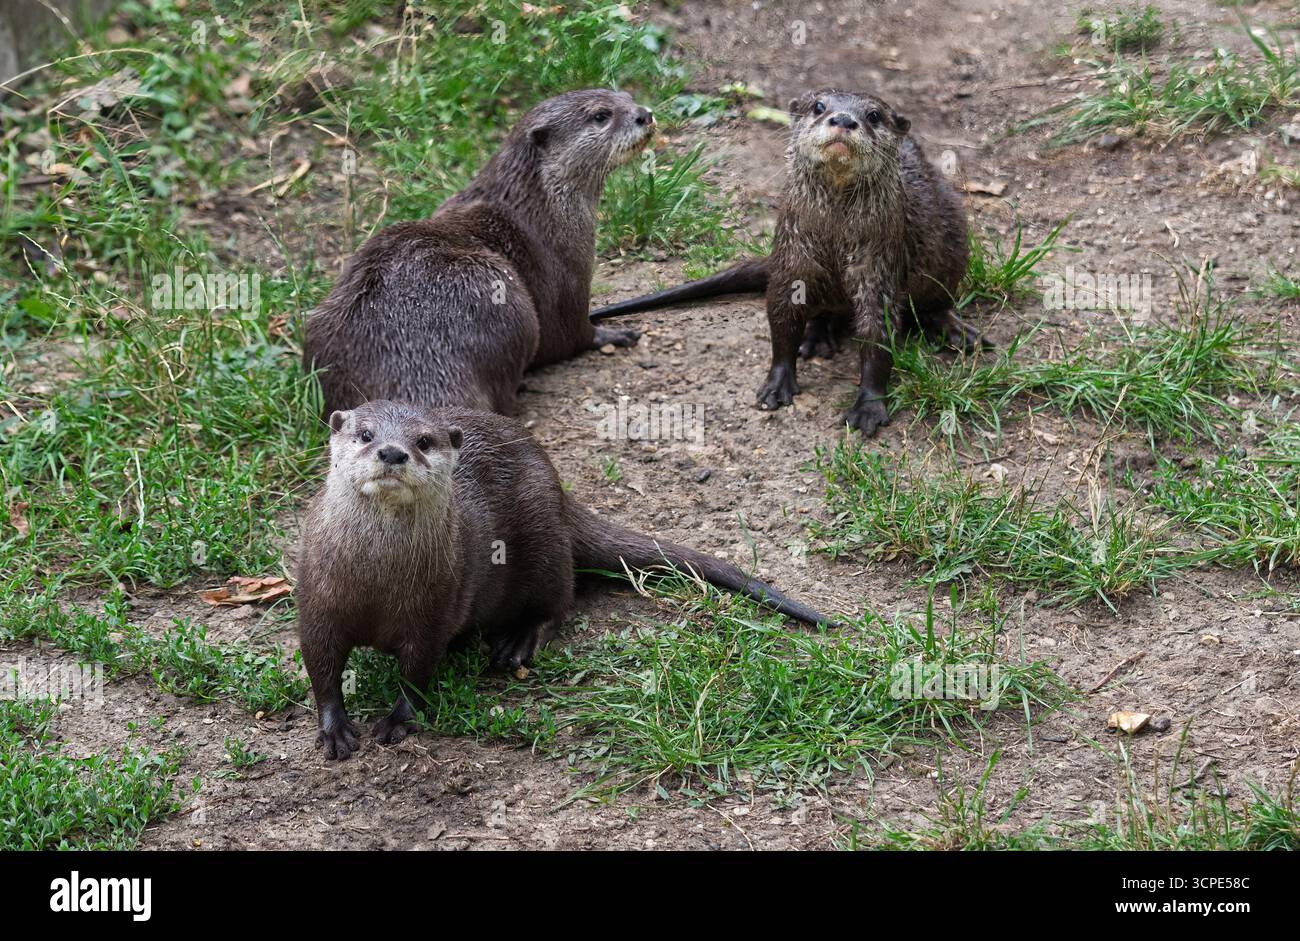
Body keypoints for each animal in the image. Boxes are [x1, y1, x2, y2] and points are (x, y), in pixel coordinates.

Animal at [296, 400, 836, 760]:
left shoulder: (432, 612)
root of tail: (558, 490)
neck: (376, 583)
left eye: (424, 441)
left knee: (560, 600)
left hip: (545, 550)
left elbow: (418, 673)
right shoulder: (317, 602)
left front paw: (396, 720)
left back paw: (517, 642)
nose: (392, 452)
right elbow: (321, 667)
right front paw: (334, 729)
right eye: (365, 434)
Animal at [304, 89, 654, 417]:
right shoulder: (567, 276)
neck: (544, 208)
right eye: (600, 116)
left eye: (626, 96)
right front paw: (611, 334)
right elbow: (569, 335)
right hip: (511, 304)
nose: (645, 114)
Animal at [590, 89, 978, 437]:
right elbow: (781, 320)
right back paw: (817, 337)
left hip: (954, 240)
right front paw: (777, 383)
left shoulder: (878, 262)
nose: (843, 120)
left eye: (874, 116)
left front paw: (868, 404)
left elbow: (878, 330)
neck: (834, 234)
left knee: (939, 300)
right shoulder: (792, 260)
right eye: (819, 106)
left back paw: (956, 330)